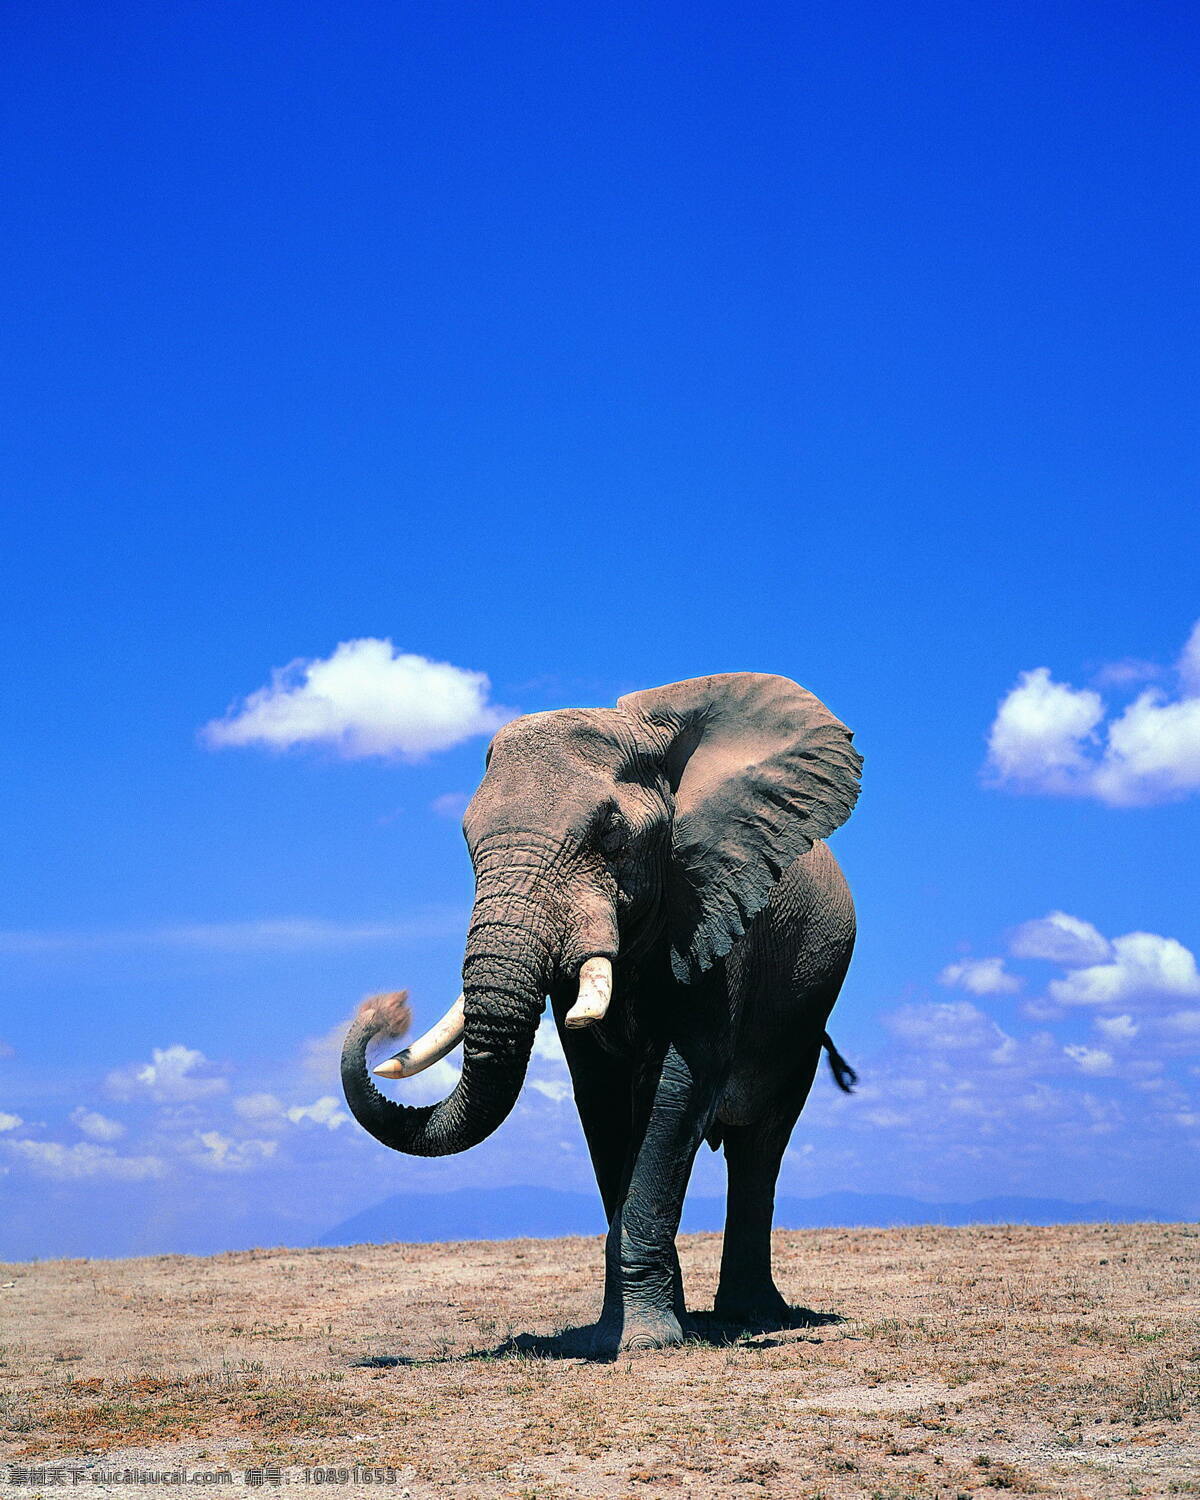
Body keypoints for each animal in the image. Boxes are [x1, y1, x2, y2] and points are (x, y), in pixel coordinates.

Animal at [341, 672, 862, 1354]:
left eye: (612, 838)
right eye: (467, 842)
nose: (387, 1009)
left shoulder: (716, 910)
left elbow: (679, 1087)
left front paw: (647, 1343)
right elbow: (601, 1096)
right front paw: (617, 1336)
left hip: (804, 1012)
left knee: (760, 1143)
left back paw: (752, 1317)